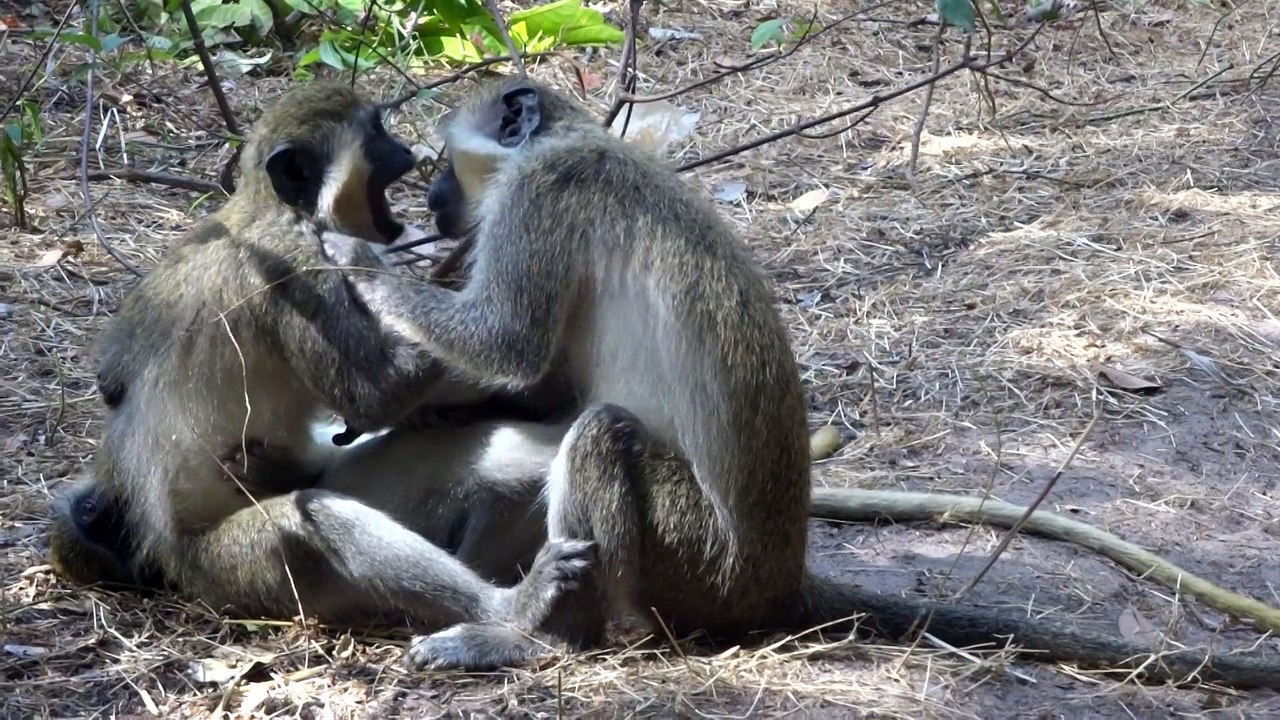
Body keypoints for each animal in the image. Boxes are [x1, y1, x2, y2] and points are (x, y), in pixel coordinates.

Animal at [78, 79, 593, 633]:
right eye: (375, 134)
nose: (408, 151)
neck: (281, 211)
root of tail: (170, 558)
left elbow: (116, 369)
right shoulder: (298, 270)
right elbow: (375, 396)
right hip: (230, 565)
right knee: (318, 519)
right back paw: (505, 606)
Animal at [319, 76, 1280, 689]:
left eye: (444, 163)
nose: (434, 200)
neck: (572, 137)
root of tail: (780, 578)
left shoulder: (543, 196)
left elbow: (508, 343)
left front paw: (353, 261)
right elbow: (538, 380)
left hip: (702, 561)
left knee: (602, 434)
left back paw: (543, 640)